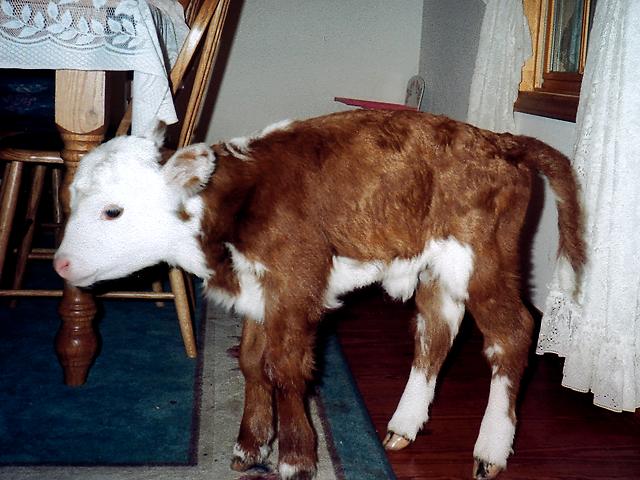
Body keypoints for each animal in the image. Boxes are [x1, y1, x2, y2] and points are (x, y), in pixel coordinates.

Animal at [54, 109, 585, 480]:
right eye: (72, 198)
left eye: (113, 211)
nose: (61, 264)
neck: (230, 206)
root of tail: (502, 140)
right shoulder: (258, 292)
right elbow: (251, 362)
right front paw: (249, 447)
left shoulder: (296, 284)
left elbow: (285, 367)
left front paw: (295, 458)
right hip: (440, 267)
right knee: (435, 332)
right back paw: (403, 427)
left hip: (485, 261)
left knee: (511, 335)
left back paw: (490, 451)